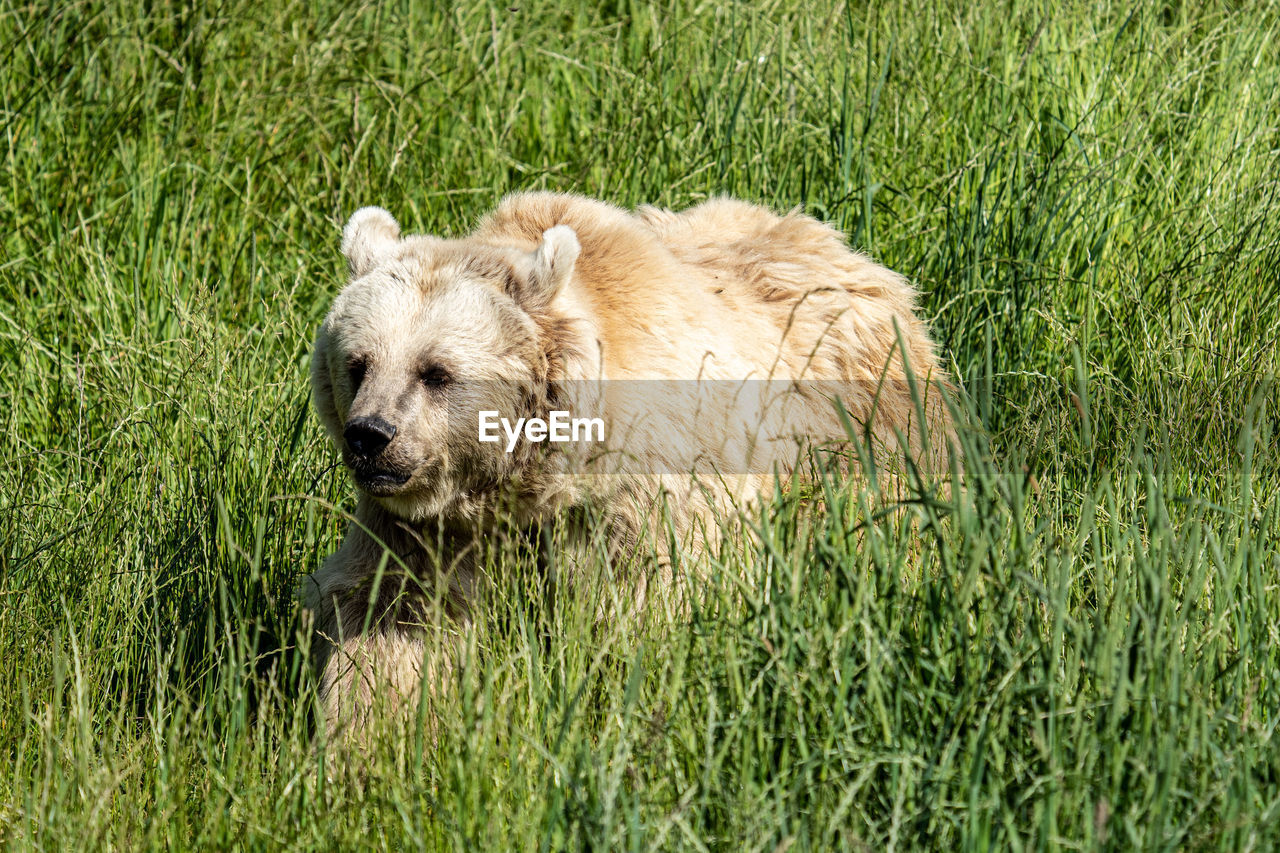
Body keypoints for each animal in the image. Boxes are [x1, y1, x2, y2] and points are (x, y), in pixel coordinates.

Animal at [302, 190, 952, 737]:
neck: (529, 483)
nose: (370, 436)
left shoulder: (649, 505)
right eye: (358, 363)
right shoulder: (424, 528)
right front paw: (363, 743)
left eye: (435, 372)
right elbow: (393, 621)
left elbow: (645, 612)